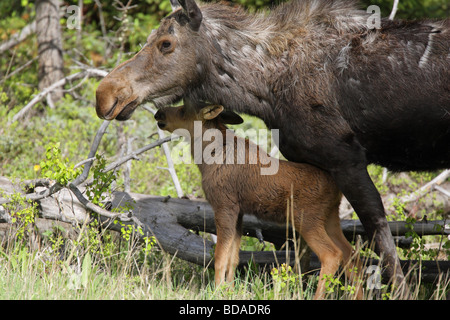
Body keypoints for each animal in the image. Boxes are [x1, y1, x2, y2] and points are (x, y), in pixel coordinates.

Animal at [156, 103, 364, 300]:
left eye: (183, 110)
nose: (159, 113)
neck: (206, 158)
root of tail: (337, 188)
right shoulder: (239, 212)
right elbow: (233, 257)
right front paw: (229, 290)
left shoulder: (224, 204)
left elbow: (220, 257)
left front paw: (216, 291)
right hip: (330, 218)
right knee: (351, 254)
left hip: (307, 220)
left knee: (332, 254)